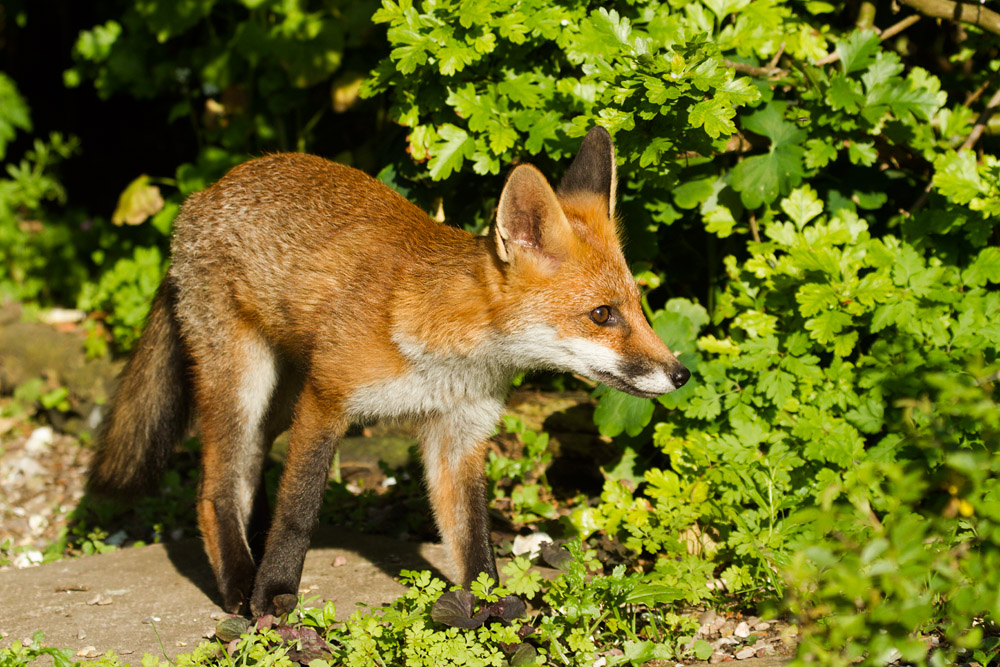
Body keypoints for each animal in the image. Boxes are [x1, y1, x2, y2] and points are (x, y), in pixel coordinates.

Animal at [88, 127, 690, 617]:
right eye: (602, 315)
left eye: (639, 308)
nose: (680, 374)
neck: (448, 353)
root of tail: (202, 195)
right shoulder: (326, 399)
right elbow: (299, 511)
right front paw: (275, 594)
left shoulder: (459, 433)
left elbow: (472, 536)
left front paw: (494, 611)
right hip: (244, 383)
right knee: (213, 491)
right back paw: (240, 582)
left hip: (276, 402)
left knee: (246, 476)